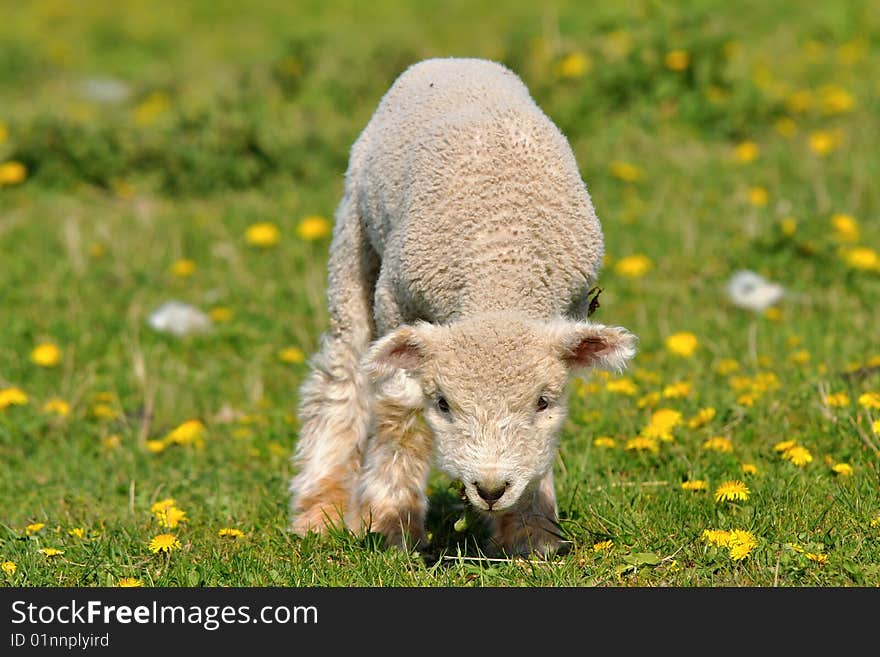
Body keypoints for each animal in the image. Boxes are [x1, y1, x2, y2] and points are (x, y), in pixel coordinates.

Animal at [292, 59, 636, 556]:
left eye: (543, 402)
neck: (501, 259)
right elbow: (401, 416)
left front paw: (531, 532)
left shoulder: (567, 307)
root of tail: (450, 61)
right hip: (354, 234)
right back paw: (321, 509)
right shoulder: (397, 299)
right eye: (443, 404)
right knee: (343, 370)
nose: (490, 489)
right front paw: (393, 522)